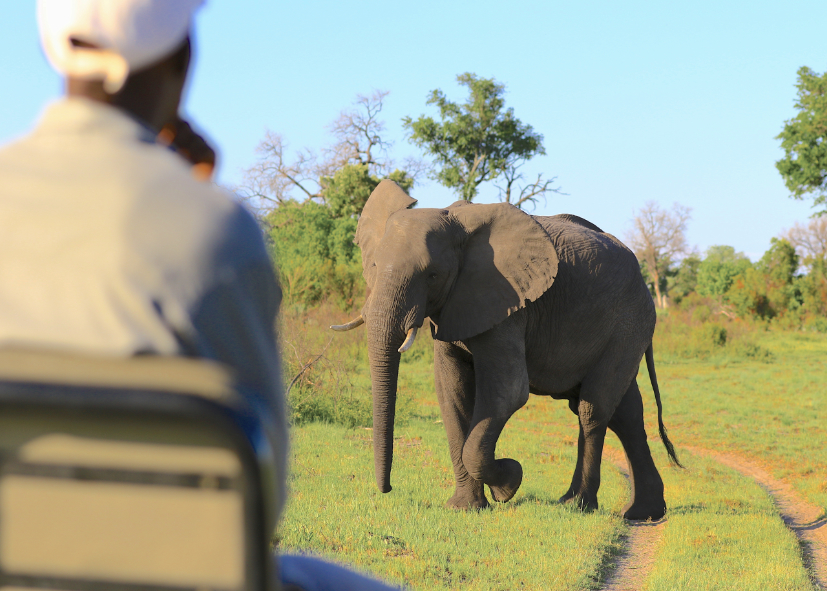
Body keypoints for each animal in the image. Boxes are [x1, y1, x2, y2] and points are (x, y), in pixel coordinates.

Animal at [334, 178, 684, 520]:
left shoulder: (508, 304)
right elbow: (451, 392)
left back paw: (577, 505)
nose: (387, 489)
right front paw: (465, 507)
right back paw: (641, 513)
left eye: (432, 274)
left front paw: (508, 483)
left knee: (593, 408)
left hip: (628, 322)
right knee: (626, 413)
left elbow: (509, 393)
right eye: (374, 264)